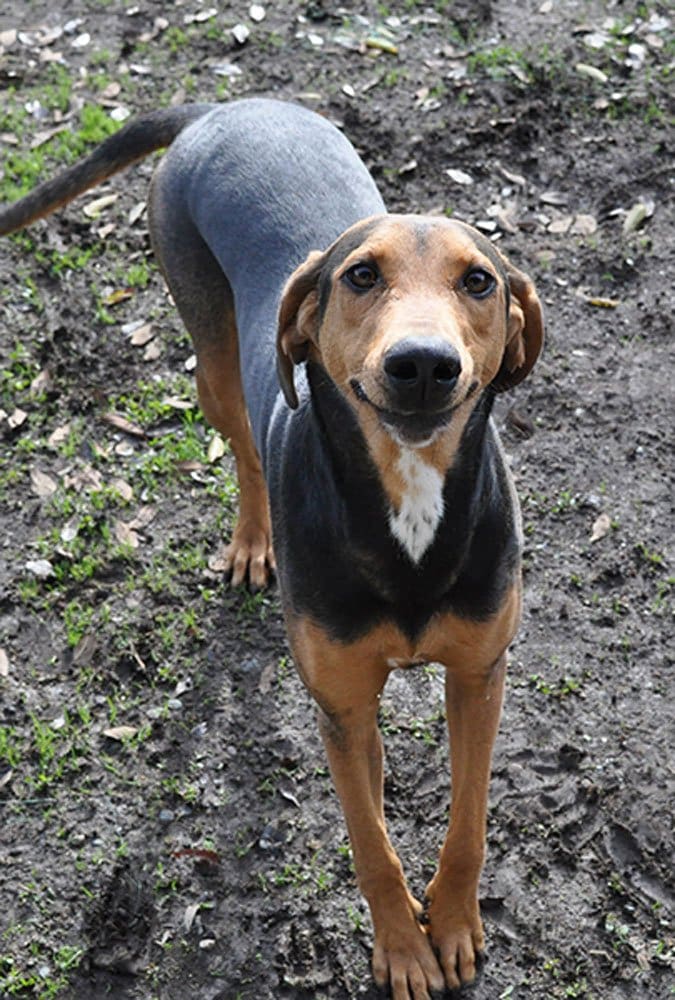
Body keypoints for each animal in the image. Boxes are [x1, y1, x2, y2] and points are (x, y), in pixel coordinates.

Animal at [0, 97, 544, 996]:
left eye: (479, 281)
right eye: (359, 276)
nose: (422, 365)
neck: (407, 498)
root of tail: (225, 106)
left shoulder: (479, 674)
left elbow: (466, 821)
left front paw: (453, 924)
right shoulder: (343, 703)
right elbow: (370, 845)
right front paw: (402, 946)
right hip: (213, 361)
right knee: (246, 447)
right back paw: (254, 543)